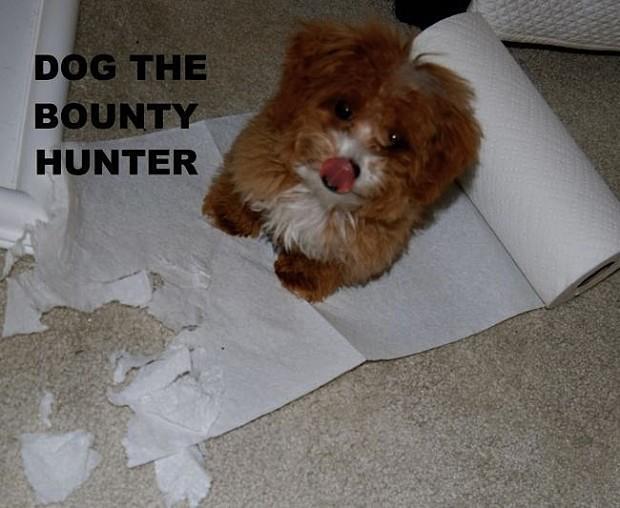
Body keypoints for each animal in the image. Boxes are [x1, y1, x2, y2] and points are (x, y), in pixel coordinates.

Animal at [203, 21, 481, 302]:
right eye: (343, 108)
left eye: (395, 138)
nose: (346, 168)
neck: (316, 195)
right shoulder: (258, 153)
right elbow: (245, 183)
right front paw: (232, 212)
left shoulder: (372, 241)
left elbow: (334, 259)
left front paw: (304, 273)